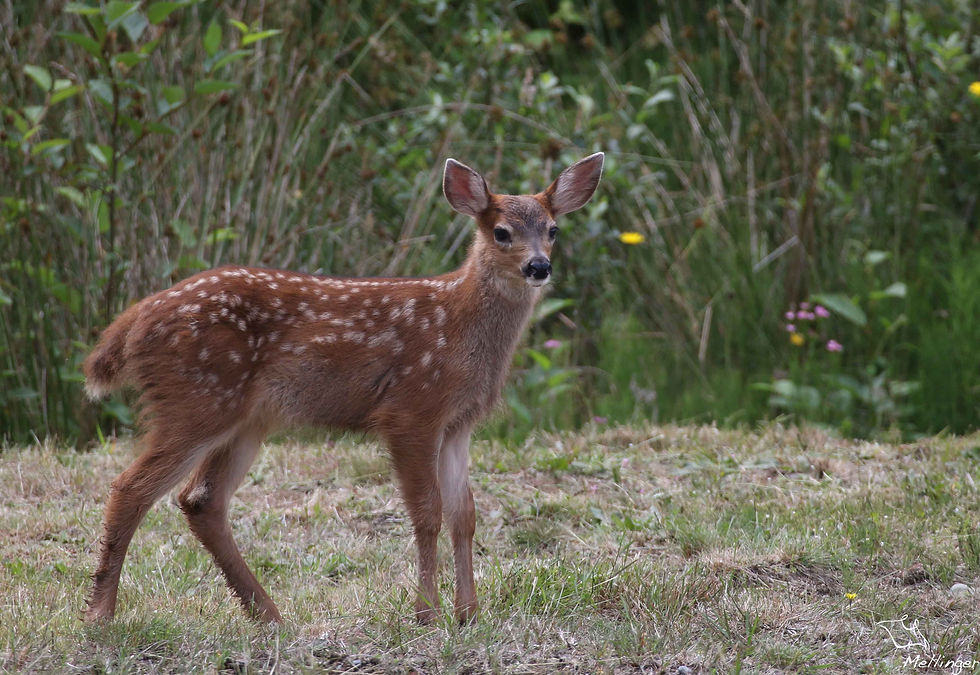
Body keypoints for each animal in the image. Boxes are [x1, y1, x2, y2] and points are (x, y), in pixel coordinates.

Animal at [82, 152, 604, 625]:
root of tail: (130, 324)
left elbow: (465, 514)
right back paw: (101, 613)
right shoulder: (411, 409)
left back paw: (269, 614)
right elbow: (428, 511)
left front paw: (469, 614)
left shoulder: (458, 423)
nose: (538, 267)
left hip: (246, 417)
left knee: (201, 500)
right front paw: (427, 614)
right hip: (197, 398)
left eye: (553, 230)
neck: (458, 327)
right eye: (501, 232)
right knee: (131, 487)